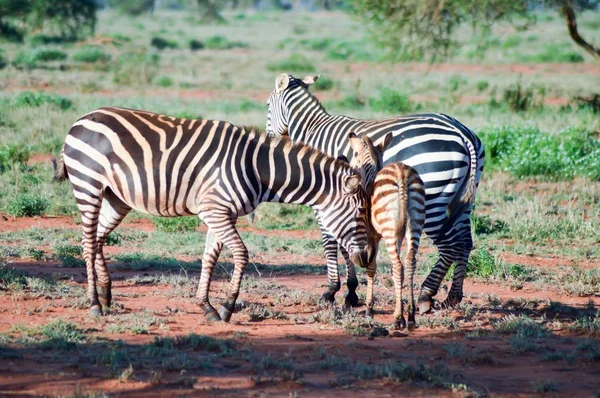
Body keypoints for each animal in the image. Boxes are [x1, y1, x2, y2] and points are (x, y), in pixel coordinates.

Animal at [57, 107, 376, 322]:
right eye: (361, 212)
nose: (366, 257)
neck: (257, 168)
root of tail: (82, 118)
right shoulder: (216, 211)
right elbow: (241, 254)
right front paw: (227, 307)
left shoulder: (221, 213)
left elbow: (209, 257)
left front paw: (206, 306)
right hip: (88, 185)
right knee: (87, 243)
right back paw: (94, 303)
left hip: (116, 197)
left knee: (98, 239)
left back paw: (107, 294)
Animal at [346, 131, 426, 330]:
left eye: (355, 160)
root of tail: (402, 173)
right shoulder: (397, 235)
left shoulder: (372, 235)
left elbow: (372, 267)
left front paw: (369, 309)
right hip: (415, 225)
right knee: (409, 263)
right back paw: (410, 316)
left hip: (389, 229)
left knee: (398, 265)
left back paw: (398, 319)